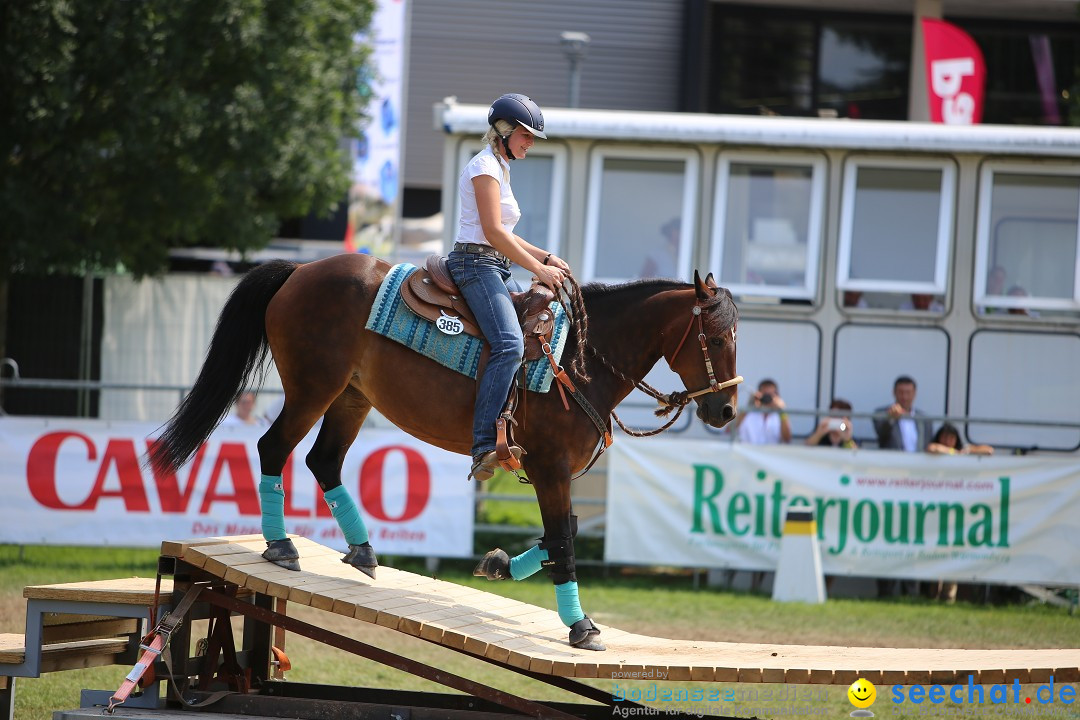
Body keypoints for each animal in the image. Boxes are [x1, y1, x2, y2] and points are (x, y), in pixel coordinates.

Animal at [150, 254, 743, 651]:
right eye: (715, 340)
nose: (726, 411)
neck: (580, 360)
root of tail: (301, 269)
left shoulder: (555, 473)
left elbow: (561, 535)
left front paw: (500, 562)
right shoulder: (549, 468)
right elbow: (564, 542)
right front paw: (581, 627)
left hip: (352, 398)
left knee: (324, 461)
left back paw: (363, 551)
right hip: (312, 390)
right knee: (273, 447)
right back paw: (281, 547)